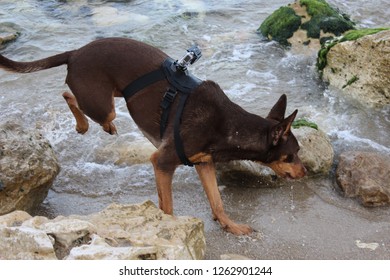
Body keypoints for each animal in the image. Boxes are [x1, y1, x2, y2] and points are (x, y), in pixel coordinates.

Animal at [0, 37, 306, 234]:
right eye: (293, 154)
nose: (305, 173)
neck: (229, 125)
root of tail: (75, 52)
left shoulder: (203, 163)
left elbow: (217, 202)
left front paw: (230, 226)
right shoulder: (162, 162)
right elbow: (167, 207)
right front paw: (170, 231)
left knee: (70, 96)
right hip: (103, 106)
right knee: (70, 96)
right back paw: (85, 126)